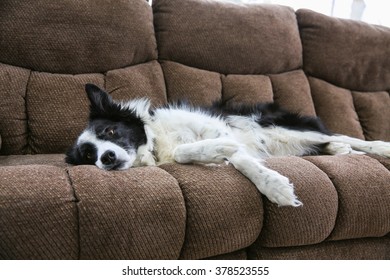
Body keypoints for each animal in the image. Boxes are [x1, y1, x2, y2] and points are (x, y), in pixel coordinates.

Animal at [65, 84, 390, 207]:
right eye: (88, 155)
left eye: (110, 130)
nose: (106, 158)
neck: (155, 143)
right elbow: (225, 155)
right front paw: (217, 153)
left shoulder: (218, 129)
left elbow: (236, 156)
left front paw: (274, 186)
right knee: (335, 143)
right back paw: (340, 152)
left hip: (285, 130)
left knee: (344, 136)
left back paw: (379, 148)